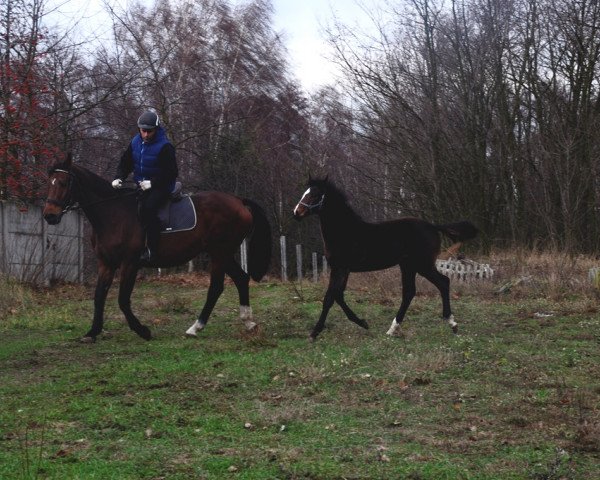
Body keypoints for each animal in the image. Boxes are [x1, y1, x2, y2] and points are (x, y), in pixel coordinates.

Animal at [44, 154, 272, 342]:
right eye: (49, 182)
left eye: (64, 182)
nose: (49, 216)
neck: (113, 214)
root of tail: (239, 201)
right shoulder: (106, 263)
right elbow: (99, 296)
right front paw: (92, 332)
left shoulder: (130, 263)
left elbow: (122, 299)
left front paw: (143, 330)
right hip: (222, 253)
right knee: (241, 278)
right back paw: (248, 322)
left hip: (219, 252)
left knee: (216, 287)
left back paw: (196, 327)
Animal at [292, 177, 478, 342]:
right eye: (305, 192)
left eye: (315, 194)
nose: (296, 213)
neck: (345, 231)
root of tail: (432, 226)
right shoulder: (340, 269)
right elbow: (337, 295)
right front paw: (362, 323)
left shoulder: (341, 268)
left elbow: (330, 298)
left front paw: (314, 332)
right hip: (408, 266)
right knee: (410, 292)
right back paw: (393, 329)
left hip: (422, 265)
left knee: (443, 282)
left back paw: (452, 323)